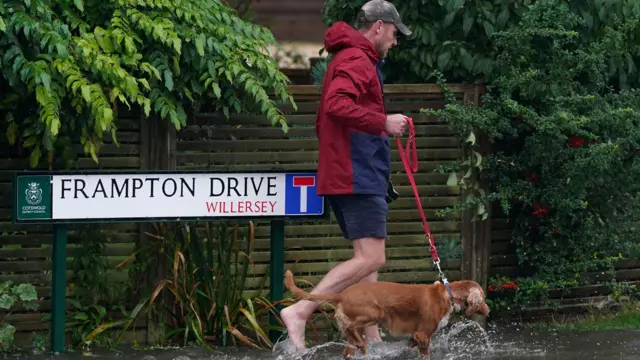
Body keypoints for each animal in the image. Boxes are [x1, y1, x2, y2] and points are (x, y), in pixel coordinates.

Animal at [284, 272, 490, 358]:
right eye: (483, 298)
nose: (488, 310)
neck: (447, 294)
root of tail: (341, 294)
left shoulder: (415, 337)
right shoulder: (422, 334)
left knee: (348, 349)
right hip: (375, 312)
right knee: (353, 329)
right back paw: (362, 344)